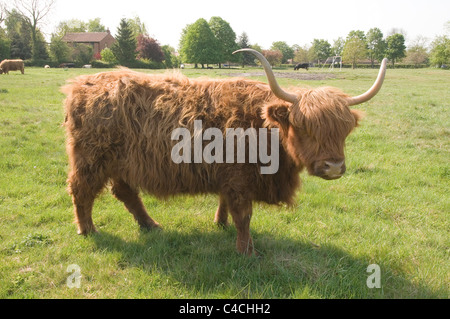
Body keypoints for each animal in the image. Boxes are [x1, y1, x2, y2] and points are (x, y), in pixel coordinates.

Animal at [63, 48, 386, 256]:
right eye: (305, 127)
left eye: (344, 130)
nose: (334, 167)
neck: (263, 126)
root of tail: (81, 84)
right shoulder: (239, 178)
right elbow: (244, 214)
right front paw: (246, 251)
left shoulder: (228, 176)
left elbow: (226, 204)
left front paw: (220, 224)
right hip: (91, 158)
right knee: (81, 190)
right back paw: (87, 230)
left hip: (122, 163)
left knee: (126, 192)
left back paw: (150, 225)